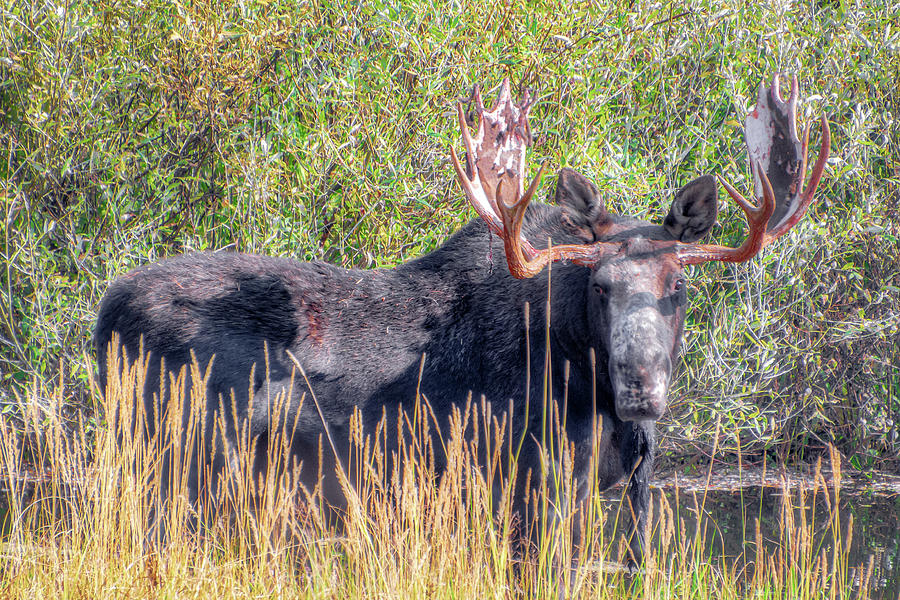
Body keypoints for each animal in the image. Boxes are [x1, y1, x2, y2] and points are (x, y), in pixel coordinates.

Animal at [93, 72, 828, 564]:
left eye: (677, 285)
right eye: (600, 286)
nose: (641, 387)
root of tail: (101, 318)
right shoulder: (534, 493)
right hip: (173, 468)